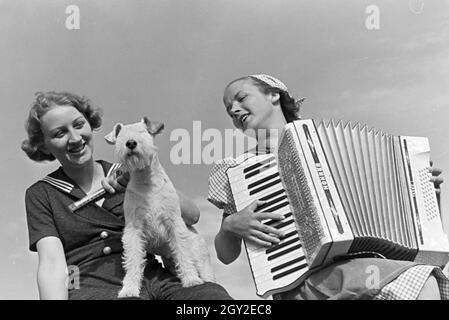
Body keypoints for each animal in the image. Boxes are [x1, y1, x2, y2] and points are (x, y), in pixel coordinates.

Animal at [106, 117, 216, 298]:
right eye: (121, 135)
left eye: (144, 131)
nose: (131, 143)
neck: (145, 180)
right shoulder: (134, 230)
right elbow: (133, 261)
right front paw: (129, 290)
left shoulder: (173, 222)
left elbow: (182, 253)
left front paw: (191, 280)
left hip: (201, 259)